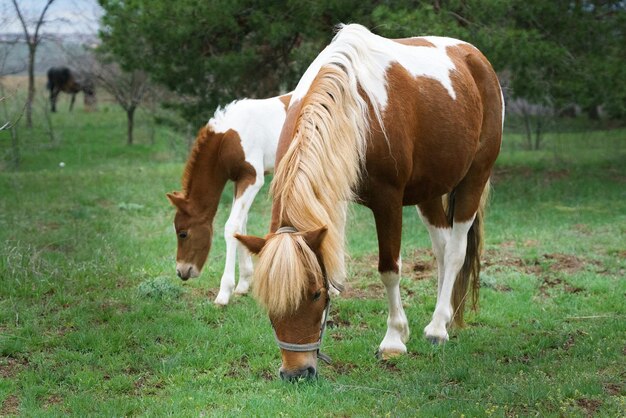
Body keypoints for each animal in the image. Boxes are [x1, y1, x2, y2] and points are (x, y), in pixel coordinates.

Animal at [167, 94, 292, 304]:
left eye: (183, 233)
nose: (181, 271)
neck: (229, 138)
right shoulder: (238, 179)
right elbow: (241, 224)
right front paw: (243, 283)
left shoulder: (253, 178)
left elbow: (231, 226)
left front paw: (224, 292)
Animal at [236, 24, 504, 380]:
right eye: (268, 301)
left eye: (315, 294)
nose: (296, 373)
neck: (352, 106)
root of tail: (475, 57)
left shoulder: (388, 201)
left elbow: (389, 269)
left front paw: (393, 340)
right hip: (429, 191)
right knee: (443, 248)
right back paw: (442, 317)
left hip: (475, 177)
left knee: (457, 251)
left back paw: (437, 328)